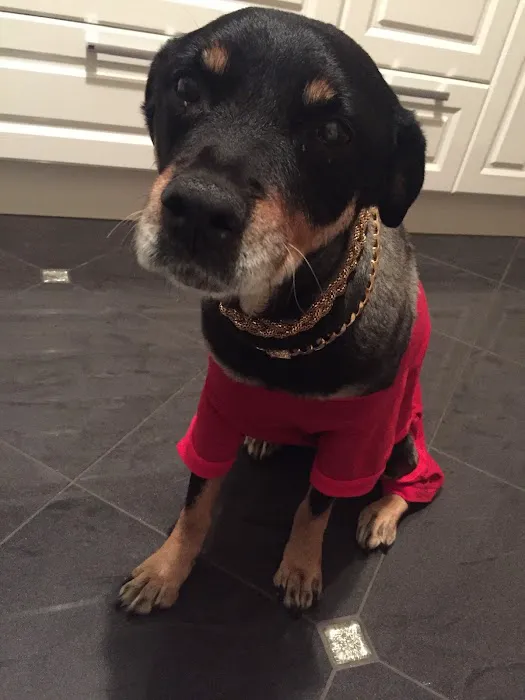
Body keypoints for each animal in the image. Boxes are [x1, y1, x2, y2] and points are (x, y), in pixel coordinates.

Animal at [119, 7, 444, 615]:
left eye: (333, 132)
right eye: (186, 88)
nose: (198, 210)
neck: (285, 321)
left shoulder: (358, 434)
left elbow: (315, 505)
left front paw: (299, 567)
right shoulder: (219, 401)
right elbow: (197, 497)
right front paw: (166, 569)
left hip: (402, 439)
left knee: (417, 483)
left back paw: (381, 514)